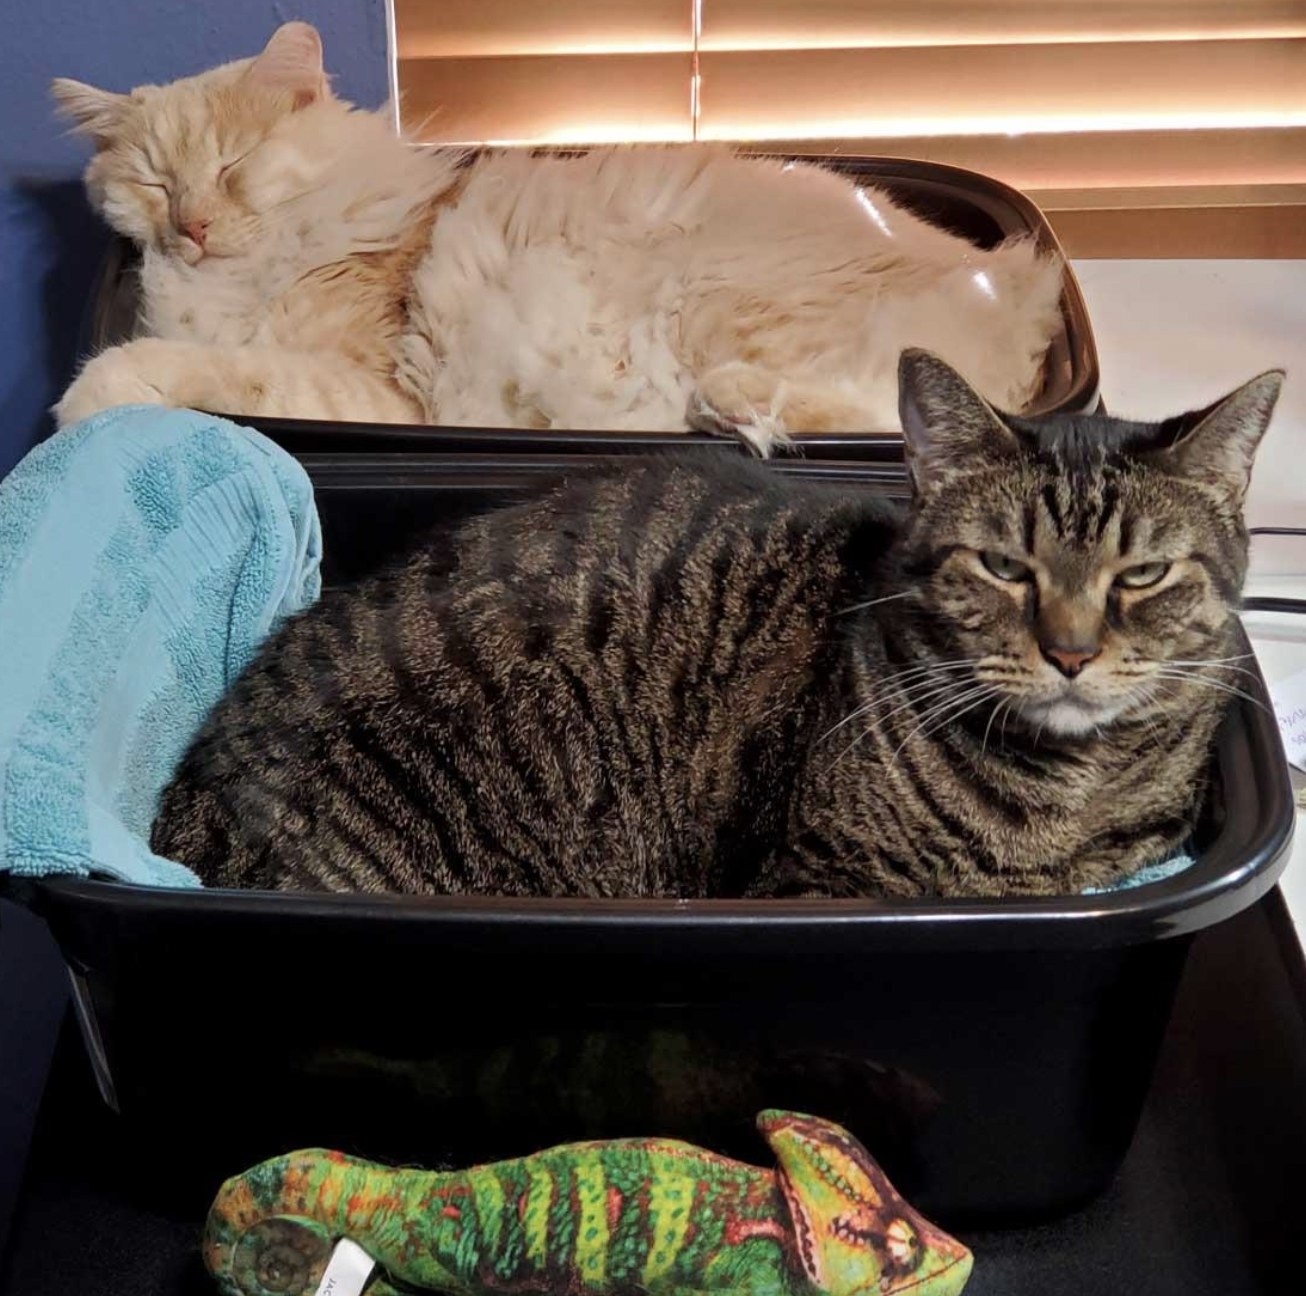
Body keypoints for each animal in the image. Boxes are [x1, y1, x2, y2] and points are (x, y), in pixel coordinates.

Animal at [53, 18, 1070, 454]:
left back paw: (730, 408)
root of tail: (1019, 280)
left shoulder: (377, 394)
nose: (191, 226)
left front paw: (84, 402)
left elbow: (203, 373)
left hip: (720, 308)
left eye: (235, 165)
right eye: (155, 181)